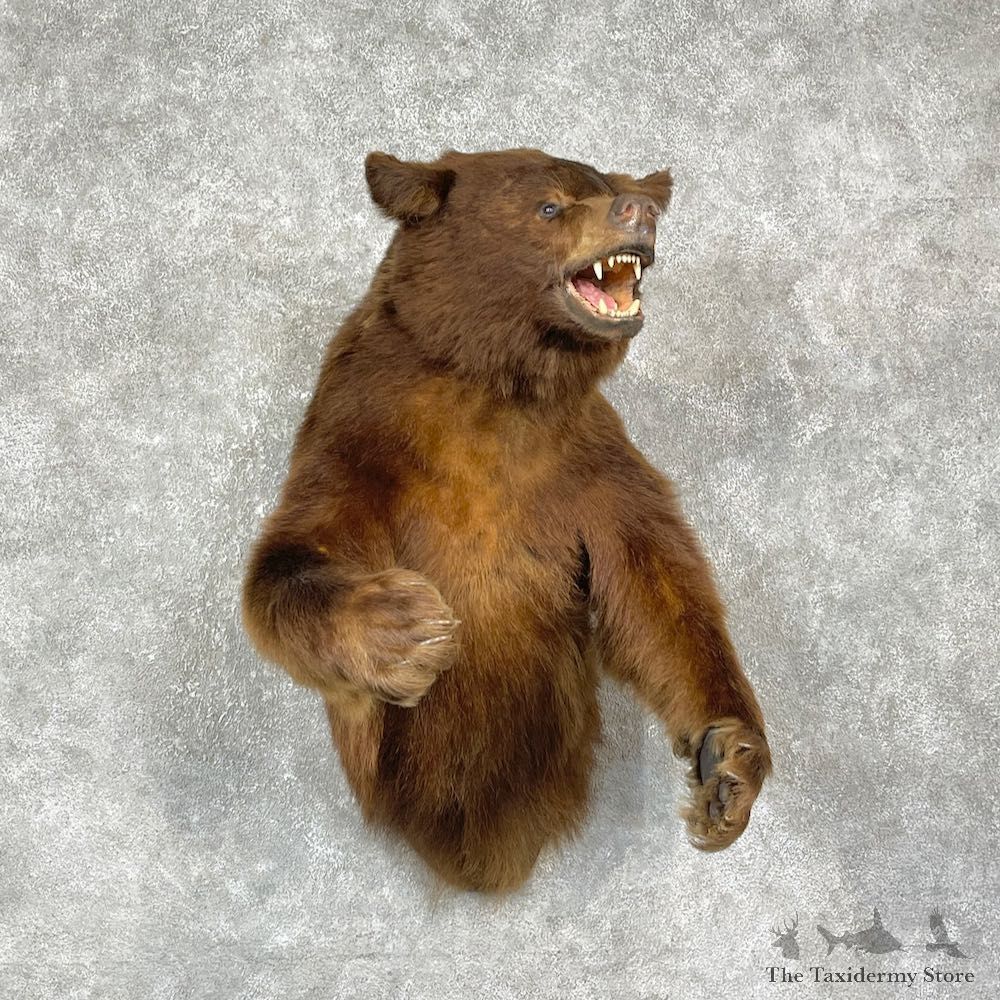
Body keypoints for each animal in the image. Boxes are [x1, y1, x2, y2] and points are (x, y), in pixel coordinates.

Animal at [241, 148, 771, 893]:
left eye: (606, 187)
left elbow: (660, 593)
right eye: (551, 206)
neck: (494, 384)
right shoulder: (361, 437)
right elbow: (297, 550)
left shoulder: (586, 466)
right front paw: (407, 628)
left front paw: (729, 765)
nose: (641, 210)